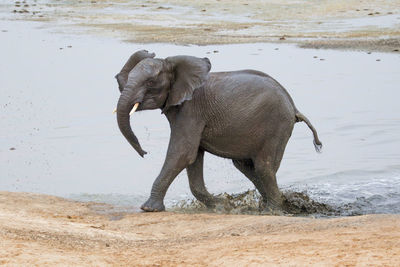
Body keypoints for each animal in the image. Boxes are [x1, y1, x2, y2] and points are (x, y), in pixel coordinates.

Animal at [113, 49, 322, 214]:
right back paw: (272, 204)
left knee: (264, 167)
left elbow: (182, 154)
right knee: (247, 166)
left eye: (150, 82)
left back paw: (272, 210)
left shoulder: (191, 110)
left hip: (277, 125)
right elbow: (193, 157)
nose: (144, 153)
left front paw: (148, 208)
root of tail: (294, 107)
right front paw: (222, 205)